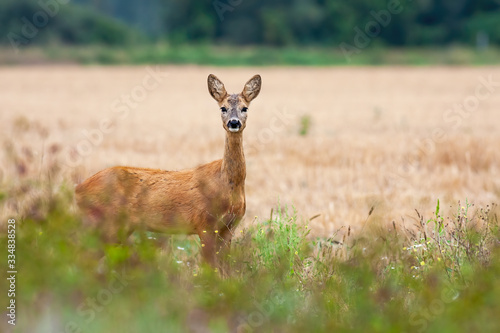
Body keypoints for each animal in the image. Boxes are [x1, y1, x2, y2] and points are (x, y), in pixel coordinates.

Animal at [75, 74, 262, 268]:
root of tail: (78, 189)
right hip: (104, 221)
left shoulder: (229, 228)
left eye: (245, 108)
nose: (234, 122)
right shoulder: (204, 223)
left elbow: (225, 268)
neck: (227, 185)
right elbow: (209, 268)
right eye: (223, 108)